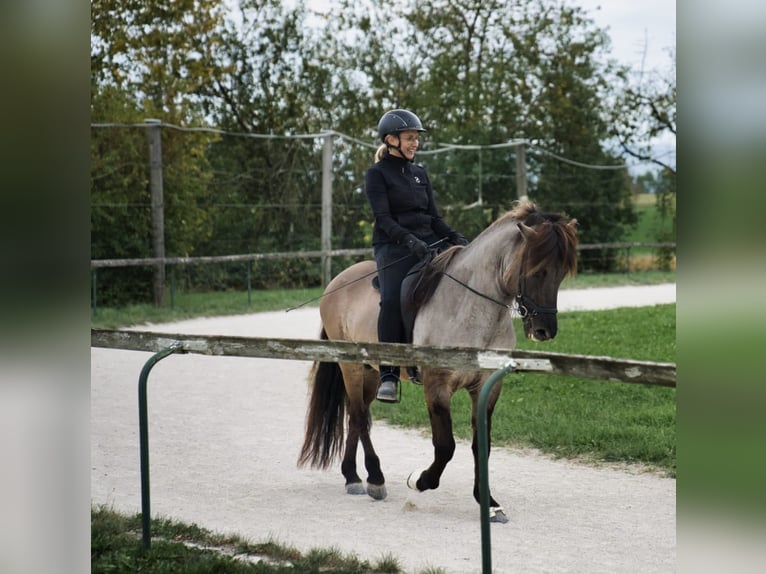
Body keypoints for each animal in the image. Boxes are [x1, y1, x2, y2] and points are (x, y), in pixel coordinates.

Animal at [297, 200, 578, 522]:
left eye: (561, 273)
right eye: (537, 271)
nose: (545, 330)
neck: (470, 307)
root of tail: (337, 282)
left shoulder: (487, 386)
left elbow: (481, 444)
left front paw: (489, 503)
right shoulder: (437, 384)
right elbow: (445, 447)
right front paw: (418, 482)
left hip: (372, 372)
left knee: (357, 416)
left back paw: (353, 476)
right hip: (352, 367)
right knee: (357, 415)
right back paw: (375, 479)